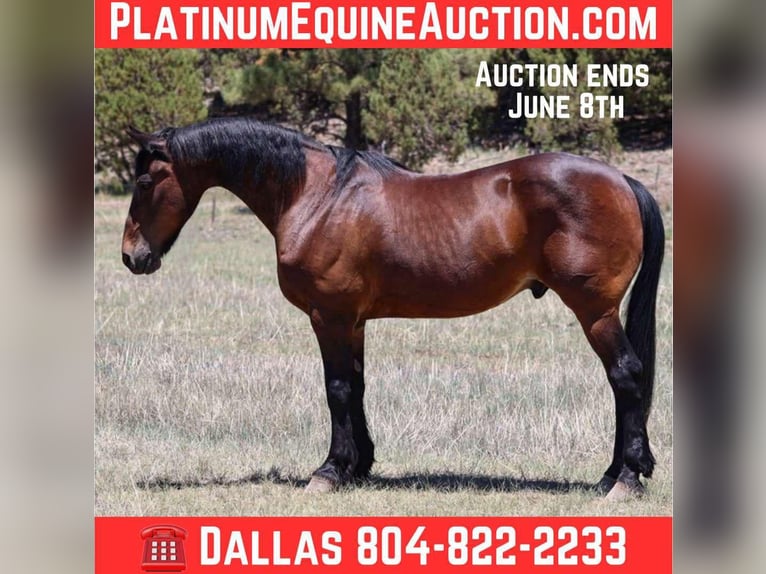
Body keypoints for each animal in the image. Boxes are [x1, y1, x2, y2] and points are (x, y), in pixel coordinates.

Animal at [121, 117, 664, 498]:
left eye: (145, 183)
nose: (131, 257)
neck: (318, 196)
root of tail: (621, 179)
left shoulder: (329, 317)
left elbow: (337, 389)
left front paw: (329, 471)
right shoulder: (354, 321)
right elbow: (357, 387)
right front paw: (358, 466)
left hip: (595, 312)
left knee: (626, 375)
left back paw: (625, 480)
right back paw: (611, 474)